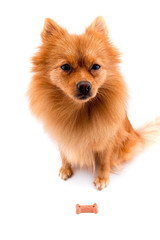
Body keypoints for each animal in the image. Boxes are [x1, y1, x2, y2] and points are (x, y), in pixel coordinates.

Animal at [27, 16, 160, 189]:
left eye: (95, 66)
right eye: (65, 67)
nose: (84, 85)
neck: (77, 111)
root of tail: (137, 134)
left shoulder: (108, 140)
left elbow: (104, 160)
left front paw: (102, 178)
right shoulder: (61, 135)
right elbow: (64, 153)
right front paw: (65, 168)